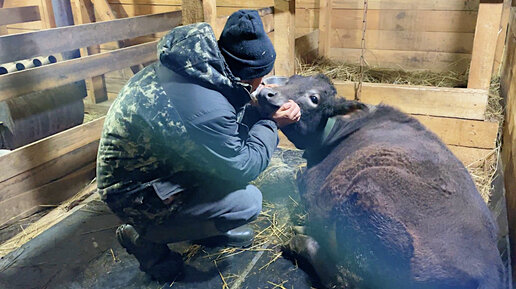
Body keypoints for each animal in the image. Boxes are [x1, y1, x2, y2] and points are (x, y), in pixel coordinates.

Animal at [256, 75, 504, 288]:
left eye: (314, 98)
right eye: (291, 80)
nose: (267, 93)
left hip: (368, 194)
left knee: (342, 277)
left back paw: (298, 242)